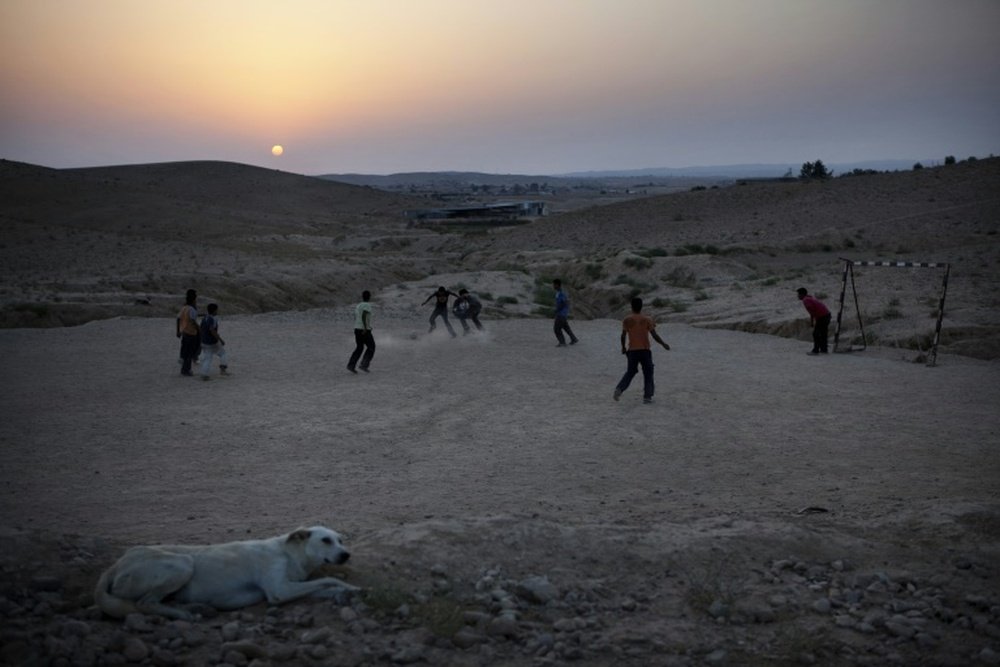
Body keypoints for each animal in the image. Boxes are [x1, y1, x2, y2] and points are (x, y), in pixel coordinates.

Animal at [94, 528, 360, 620]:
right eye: (325, 540)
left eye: (340, 539)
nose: (346, 555)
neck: (289, 553)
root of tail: (116, 564)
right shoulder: (279, 591)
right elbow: (328, 578)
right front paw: (350, 588)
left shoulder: (293, 586)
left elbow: (326, 586)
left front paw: (347, 592)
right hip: (183, 563)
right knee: (144, 603)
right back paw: (184, 615)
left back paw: (195, 608)